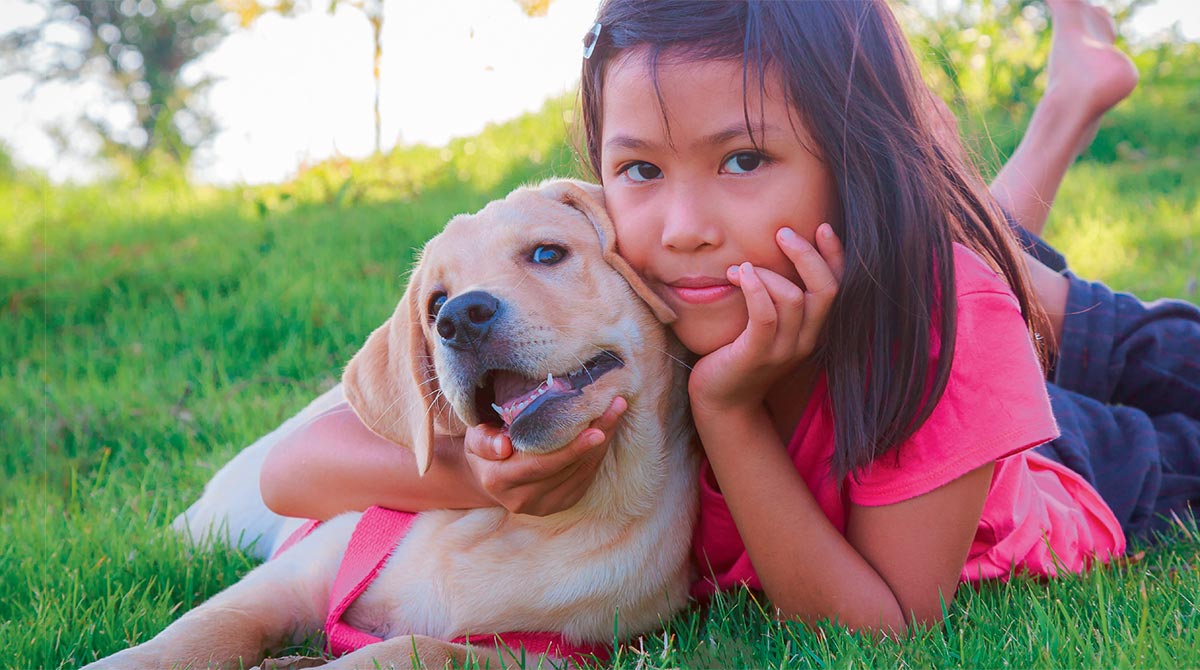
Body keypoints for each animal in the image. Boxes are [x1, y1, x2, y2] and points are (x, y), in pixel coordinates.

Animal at [84, 182, 700, 670]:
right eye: (435, 303)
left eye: (548, 253)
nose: (458, 319)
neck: (508, 524)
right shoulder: (294, 577)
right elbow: (207, 627)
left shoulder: (538, 653)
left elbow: (411, 649)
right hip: (220, 519)